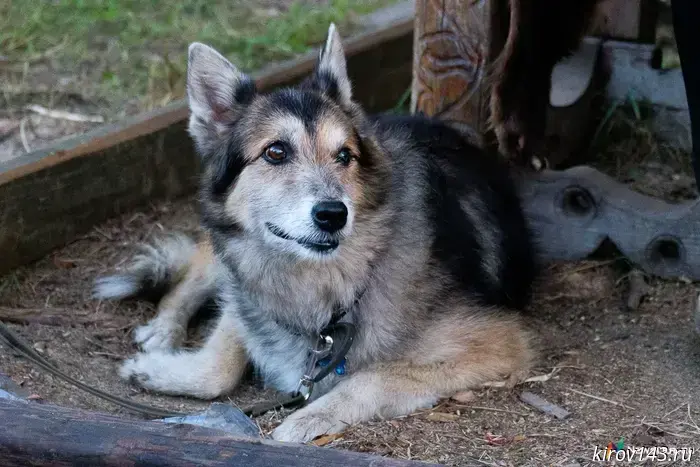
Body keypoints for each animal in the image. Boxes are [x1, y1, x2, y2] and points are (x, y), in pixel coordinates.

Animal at [94, 23, 536, 444]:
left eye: (344, 156)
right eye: (275, 152)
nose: (333, 215)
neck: (323, 283)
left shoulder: (499, 340)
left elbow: (373, 376)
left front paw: (310, 417)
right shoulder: (248, 292)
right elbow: (219, 364)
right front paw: (156, 371)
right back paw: (164, 327)